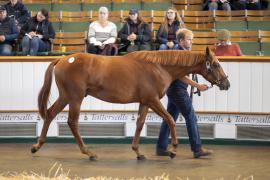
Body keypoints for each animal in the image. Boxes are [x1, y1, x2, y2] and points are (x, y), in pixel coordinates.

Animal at [31, 47, 230, 160]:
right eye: (216, 64)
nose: (226, 84)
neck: (159, 67)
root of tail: (63, 59)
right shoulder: (153, 100)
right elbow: (170, 120)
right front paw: (173, 150)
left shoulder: (145, 102)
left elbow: (140, 124)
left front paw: (138, 152)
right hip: (75, 98)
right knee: (72, 122)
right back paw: (89, 153)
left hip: (66, 97)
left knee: (50, 114)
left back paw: (37, 146)